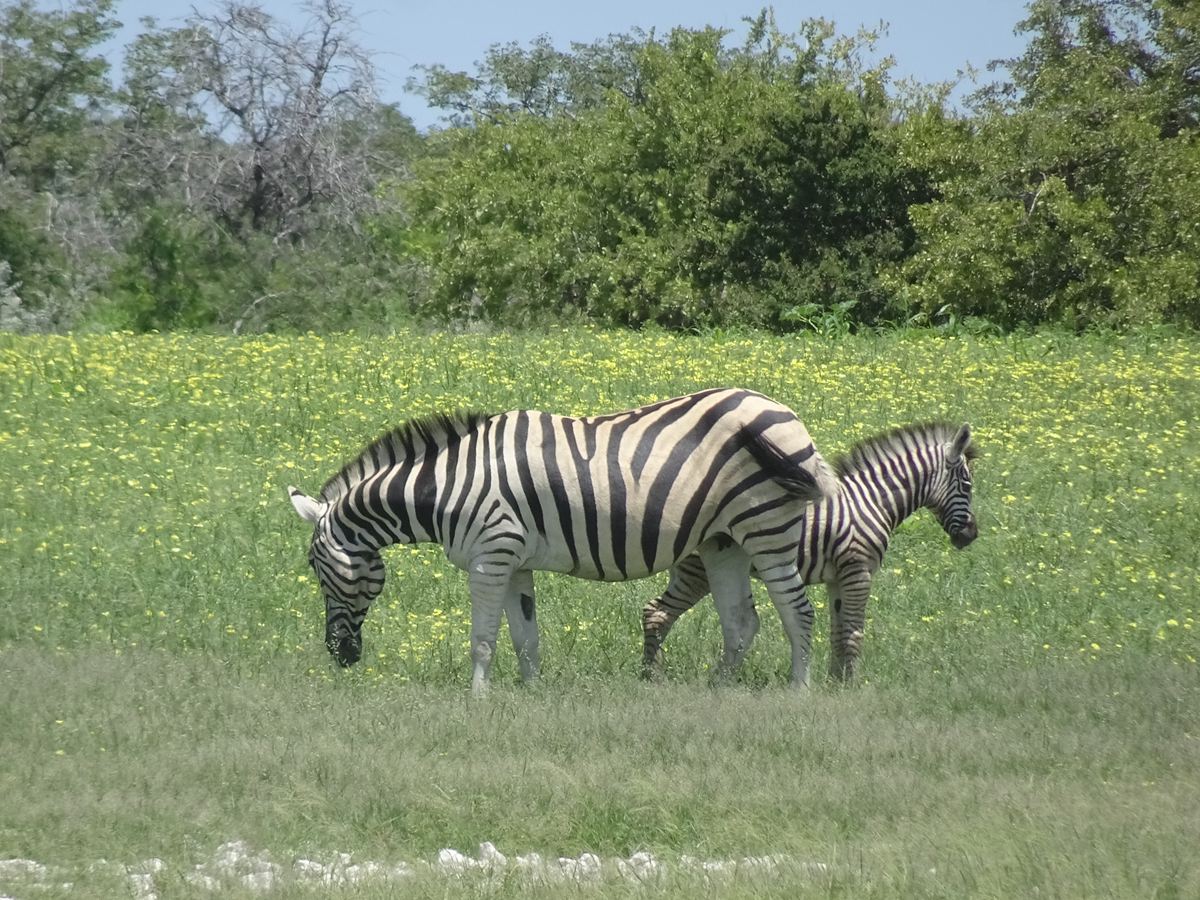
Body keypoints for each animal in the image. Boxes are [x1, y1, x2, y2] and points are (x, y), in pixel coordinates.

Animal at [286, 388, 839, 694]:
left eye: (316, 570)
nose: (339, 655)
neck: (445, 486)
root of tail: (787, 412)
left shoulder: (491, 556)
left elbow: (483, 639)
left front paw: (476, 700)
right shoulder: (515, 562)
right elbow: (525, 638)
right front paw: (531, 694)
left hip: (766, 527)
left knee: (798, 611)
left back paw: (799, 689)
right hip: (725, 541)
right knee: (742, 623)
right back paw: (717, 688)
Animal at [641, 421, 978, 682]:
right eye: (967, 485)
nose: (971, 536)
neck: (871, 502)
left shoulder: (838, 579)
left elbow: (838, 632)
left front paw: (835, 681)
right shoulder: (858, 572)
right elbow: (854, 633)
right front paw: (849, 686)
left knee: (656, 611)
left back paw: (650, 673)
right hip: (698, 572)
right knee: (658, 612)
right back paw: (652, 675)